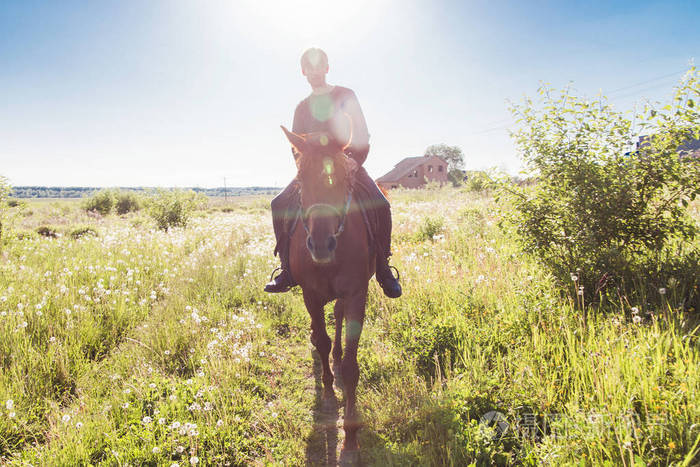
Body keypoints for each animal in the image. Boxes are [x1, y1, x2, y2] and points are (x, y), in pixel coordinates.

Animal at [280, 126, 378, 462]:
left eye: (342, 176)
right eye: (300, 176)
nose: (321, 244)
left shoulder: (357, 294)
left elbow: (350, 366)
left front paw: (350, 442)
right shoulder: (310, 294)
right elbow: (321, 341)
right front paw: (326, 393)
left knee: (336, 317)